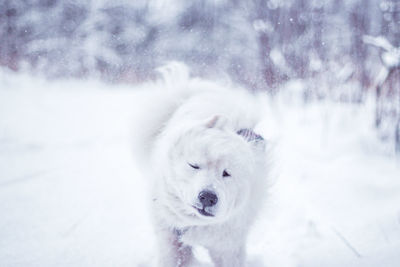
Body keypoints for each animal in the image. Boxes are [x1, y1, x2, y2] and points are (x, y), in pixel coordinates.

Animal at [133, 63, 268, 266]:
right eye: (194, 165)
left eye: (226, 173)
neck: (197, 223)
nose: (208, 197)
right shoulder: (172, 240)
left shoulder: (228, 246)